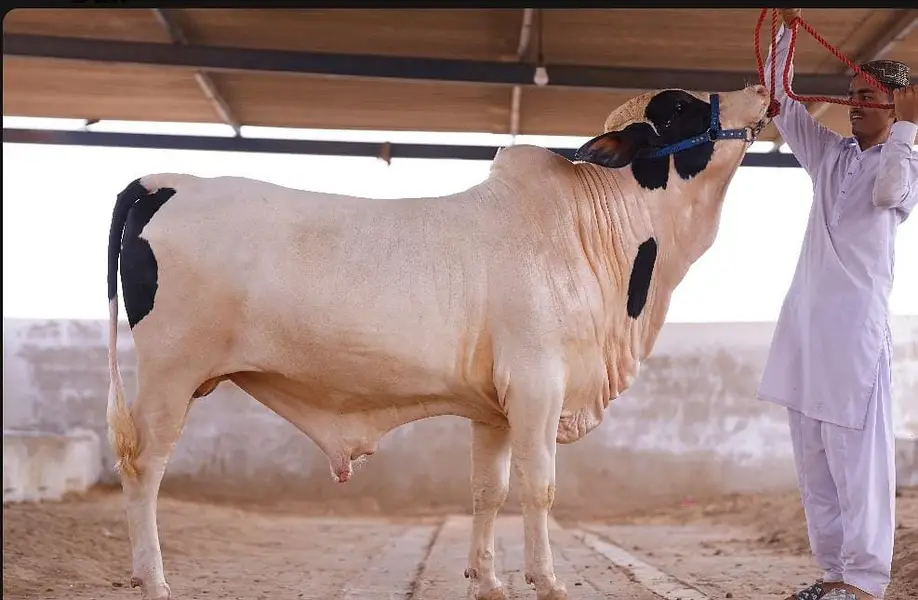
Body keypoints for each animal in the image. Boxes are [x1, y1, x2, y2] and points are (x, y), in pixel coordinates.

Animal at [105, 84, 772, 600]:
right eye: (680, 106)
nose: (761, 87)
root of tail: (166, 181)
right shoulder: (538, 385)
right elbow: (539, 488)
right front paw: (547, 580)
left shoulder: (494, 408)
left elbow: (487, 492)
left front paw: (489, 579)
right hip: (170, 374)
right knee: (143, 466)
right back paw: (154, 580)